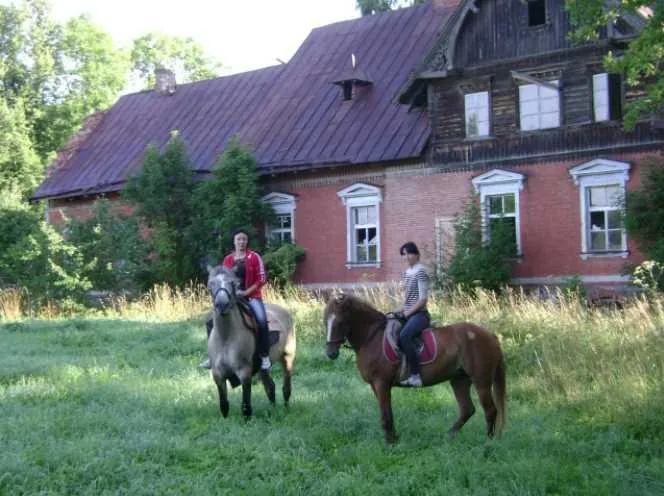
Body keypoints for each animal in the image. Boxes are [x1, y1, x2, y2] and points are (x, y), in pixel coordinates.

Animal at [206, 264, 296, 418]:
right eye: (210, 283)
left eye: (233, 283)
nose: (222, 305)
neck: (226, 338)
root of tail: (284, 312)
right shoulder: (218, 374)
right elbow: (224, 405)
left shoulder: (244, 373)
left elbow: (246, 406)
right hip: (262, 368)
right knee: (270, 387)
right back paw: (273, 410)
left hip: (287, 358)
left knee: (286, 387)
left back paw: (286, 409)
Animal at [324, 288, 506, 444]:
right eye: (326, 321)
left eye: (340, 322)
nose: (330, 353)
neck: (372, 338)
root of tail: (490, 335)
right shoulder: (377, 386)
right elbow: (387, 412)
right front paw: (394, 439)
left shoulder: (381, 383)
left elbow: (385, 416)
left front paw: (390, 443)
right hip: (459, 379)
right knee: (467, 409)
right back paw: (448, 437)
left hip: (481, 380)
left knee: (490, 410)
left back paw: (488, 442)